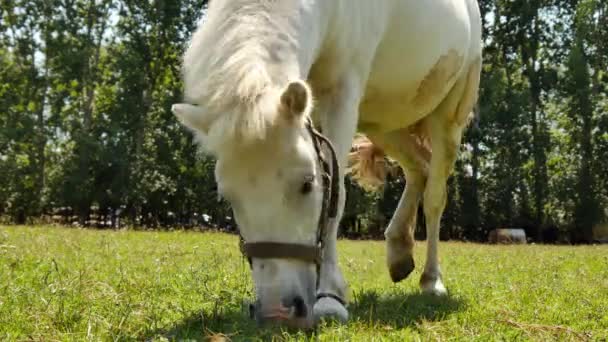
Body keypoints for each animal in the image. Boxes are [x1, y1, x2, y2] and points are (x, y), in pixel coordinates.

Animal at [173, 0, 482, 328]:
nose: (277, 312)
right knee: (418, 169)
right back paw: (399, 252)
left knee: (435, 196)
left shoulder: (341, 96)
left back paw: (432, 280)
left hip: (448, 117)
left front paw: (330, 297)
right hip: (384, 125)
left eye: (307, 184)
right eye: (228, 197)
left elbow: (337, 193)